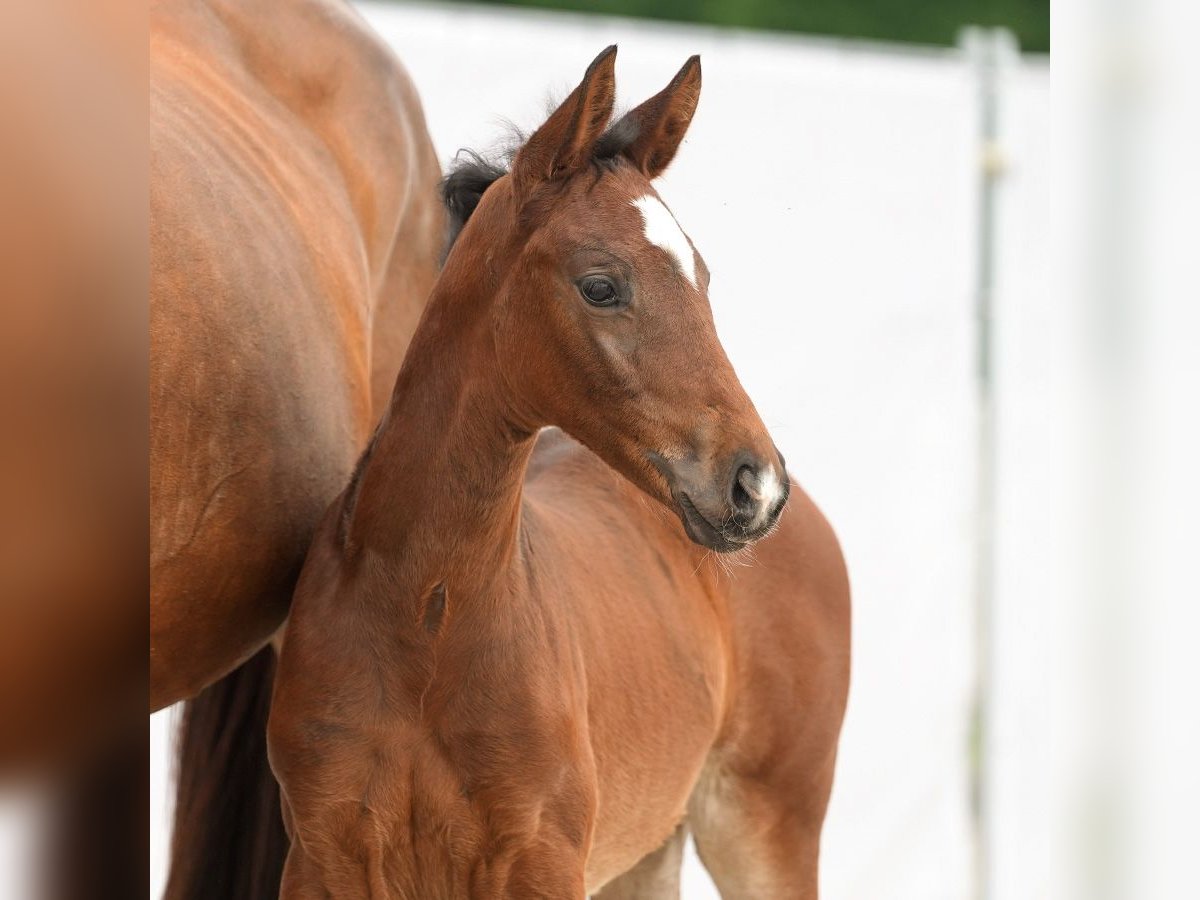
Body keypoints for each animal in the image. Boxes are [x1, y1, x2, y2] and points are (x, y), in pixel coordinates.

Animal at [270, 49, 854, 900]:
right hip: (648, 851)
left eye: (705, 277)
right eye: (601, 285)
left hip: (766, 826)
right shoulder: (322, 858)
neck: (429, 612)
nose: (755, 484)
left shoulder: (542, 862)